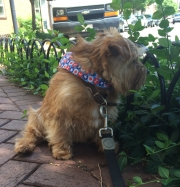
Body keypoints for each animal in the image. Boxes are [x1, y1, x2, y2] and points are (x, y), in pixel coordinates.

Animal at [13, 28, 146, 160]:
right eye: (134, 61)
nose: (147, 71)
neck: (92, 84)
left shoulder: (104, 115)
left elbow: (102, 132)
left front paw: (106, 146)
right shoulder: (59, 114)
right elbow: (60, 132)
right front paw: (62, 151)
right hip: (37, 116)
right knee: (32, 133)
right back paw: (24, 145)